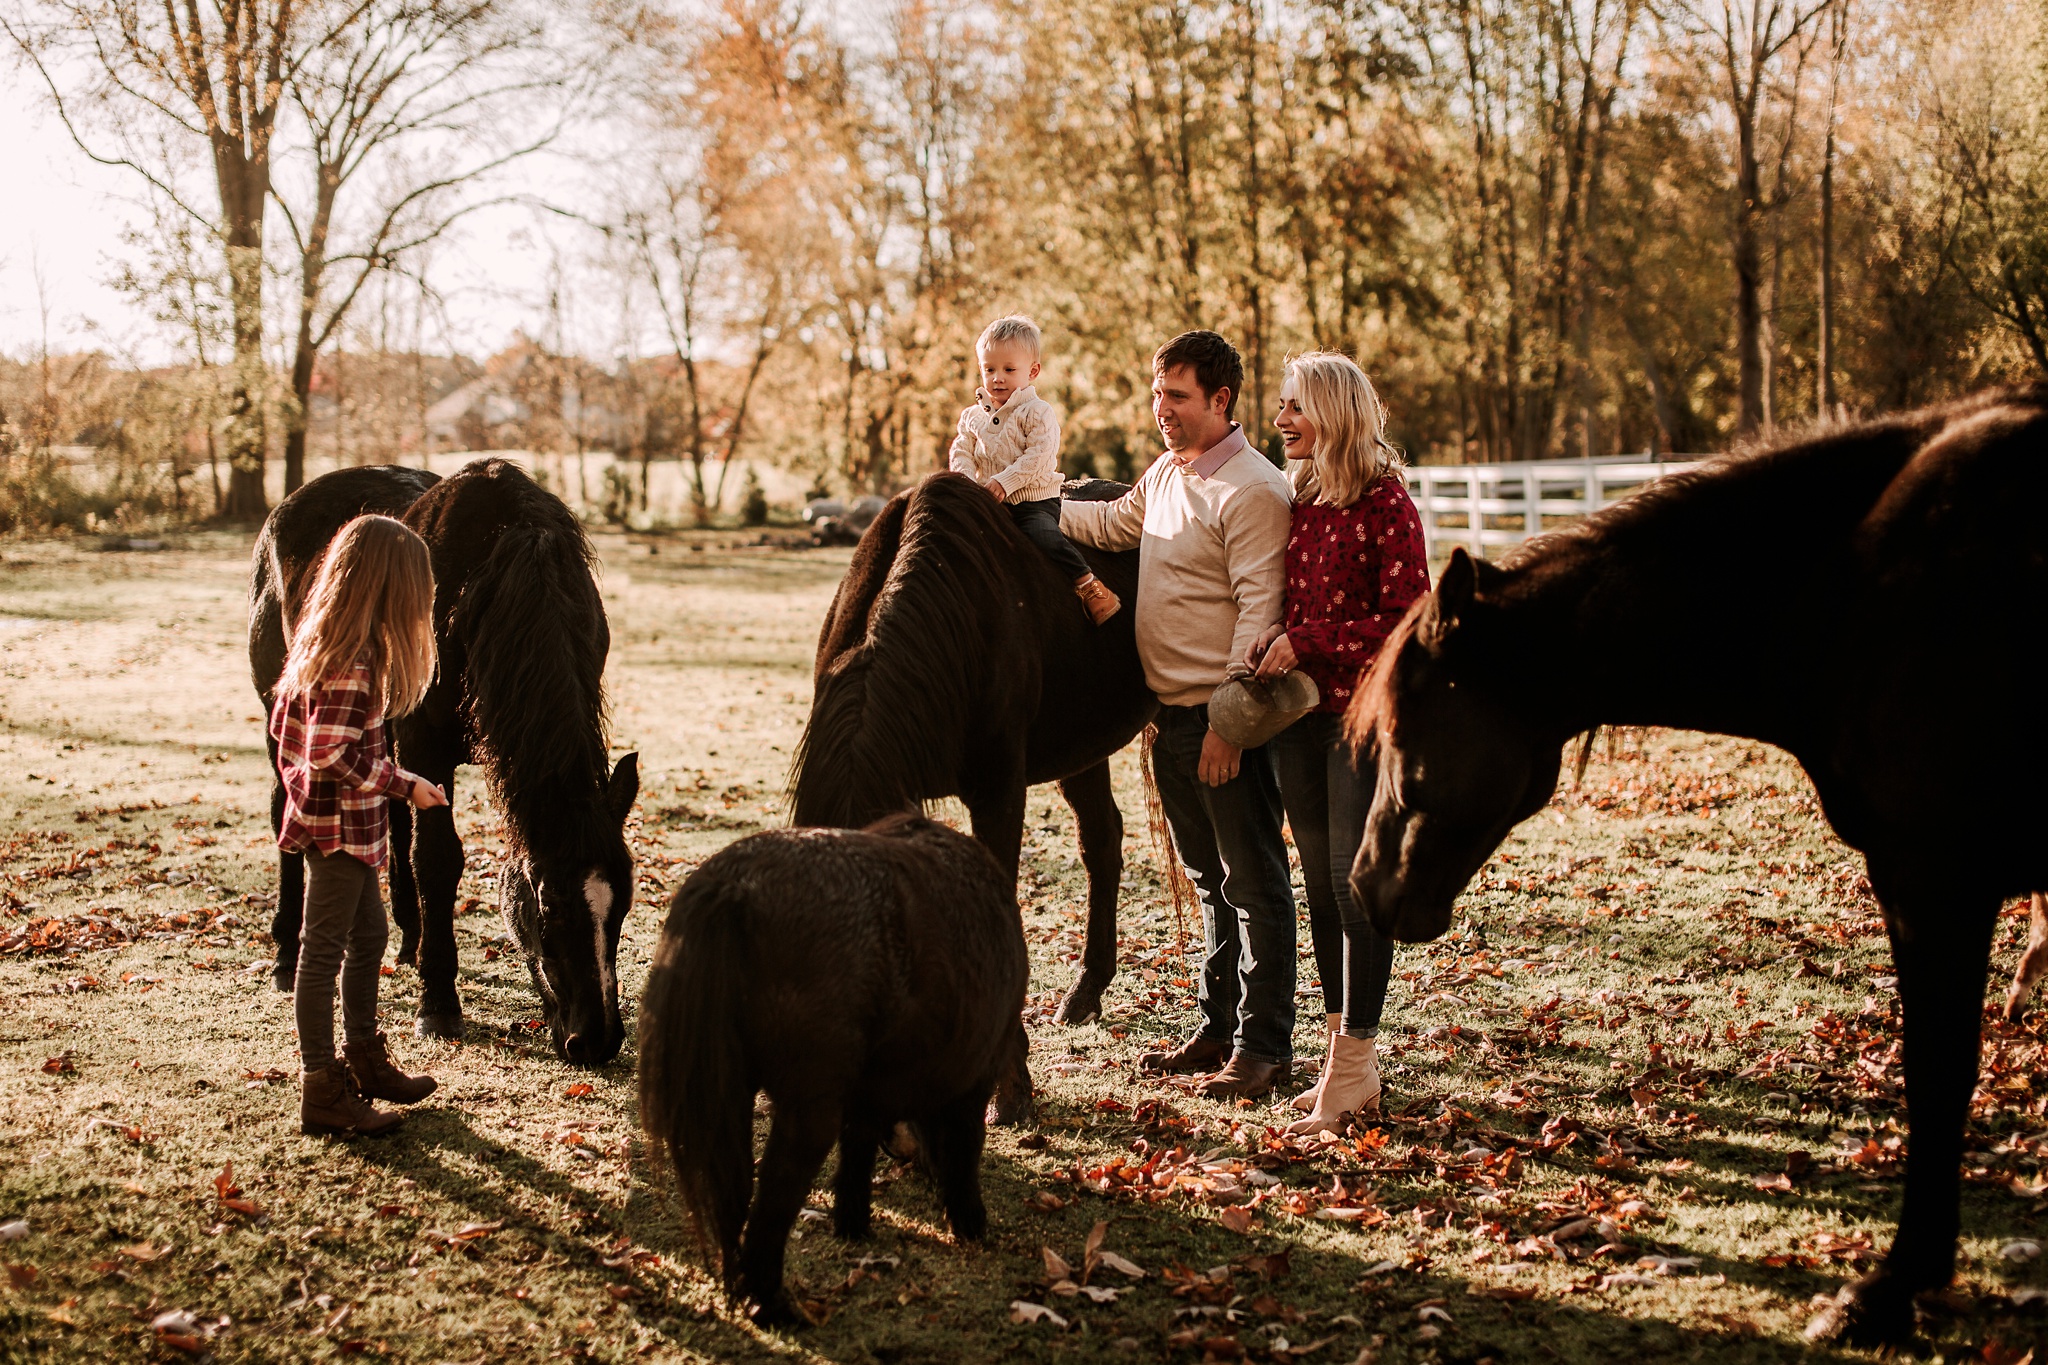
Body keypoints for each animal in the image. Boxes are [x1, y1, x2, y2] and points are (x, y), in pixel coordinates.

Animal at [253, 462, 638, 1064]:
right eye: (550, 907)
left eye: (621, 905)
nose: (597, 1040)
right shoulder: (425, 746)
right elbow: (437, 858)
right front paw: (438, 1003)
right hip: (288, 712)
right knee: (287, 811)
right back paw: (287, 957)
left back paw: (409, 941)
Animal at [634, 818, 1024, 1326]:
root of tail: (735, 889)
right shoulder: (971, 1083)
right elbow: (963, 1150)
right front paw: (969, 1221)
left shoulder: (868, 1098)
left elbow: (858, 1152)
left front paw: (853, 1224)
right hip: (807, 1112)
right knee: (773, 1196)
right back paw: (772, 1305)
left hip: (729, 1094)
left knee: (734, 1191)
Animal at [1343, 388, 2048, 1350]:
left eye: (1402, 736)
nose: (1364, 885)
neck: (1844, 596)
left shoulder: (1931, 880)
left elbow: (1939, 1073)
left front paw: (1889, 1289)